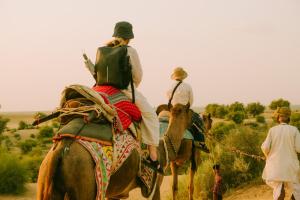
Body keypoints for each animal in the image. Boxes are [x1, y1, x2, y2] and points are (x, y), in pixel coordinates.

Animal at [37, 103, 192, 200]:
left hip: (46, 182)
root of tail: (60, 151)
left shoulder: (115, 192)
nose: (196, 116)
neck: (163, 148)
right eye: (190, 111)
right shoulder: (154, 187)